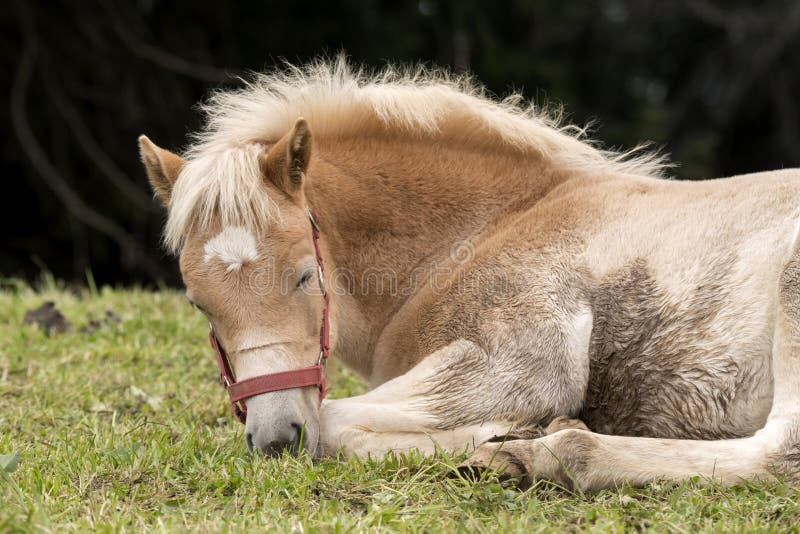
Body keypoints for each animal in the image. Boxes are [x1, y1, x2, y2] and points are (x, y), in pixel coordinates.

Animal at [139, 59, 800, 494]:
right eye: (199, 304)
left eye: (305, 276)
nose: (276, 440)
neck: (485, 231)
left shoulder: (520, 364)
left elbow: (333, 426)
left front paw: (504, 438)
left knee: (779, 453)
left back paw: (539, 457)